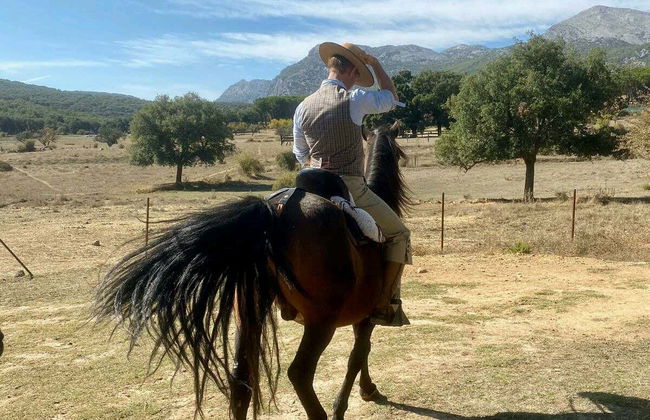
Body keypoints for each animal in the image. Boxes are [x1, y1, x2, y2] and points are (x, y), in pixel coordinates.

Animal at [94, 121, 410, 420]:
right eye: (399, 151)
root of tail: (276, 210)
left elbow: (360, 353)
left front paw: (367, 389)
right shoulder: (367, 316)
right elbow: (358, 355)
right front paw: (355, 398)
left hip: (249, 315)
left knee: (240, 379)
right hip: (320, 322)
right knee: (299, 374)